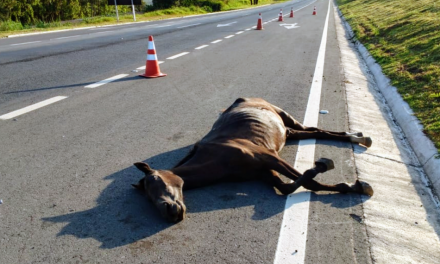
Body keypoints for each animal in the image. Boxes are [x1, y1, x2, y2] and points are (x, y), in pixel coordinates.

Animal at [132, 98, 372, 222]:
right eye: (148, 198)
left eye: (155, 180)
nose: (169, 211)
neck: (218, 159)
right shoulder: (264, 172)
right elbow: (288, 187)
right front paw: (352, 185)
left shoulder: (268, 157)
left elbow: (309, 180)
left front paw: (346, 180)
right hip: (289, 132)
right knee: (316, 131)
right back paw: (358, 137)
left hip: (286, 118)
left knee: (316, 130)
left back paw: (359, 137)